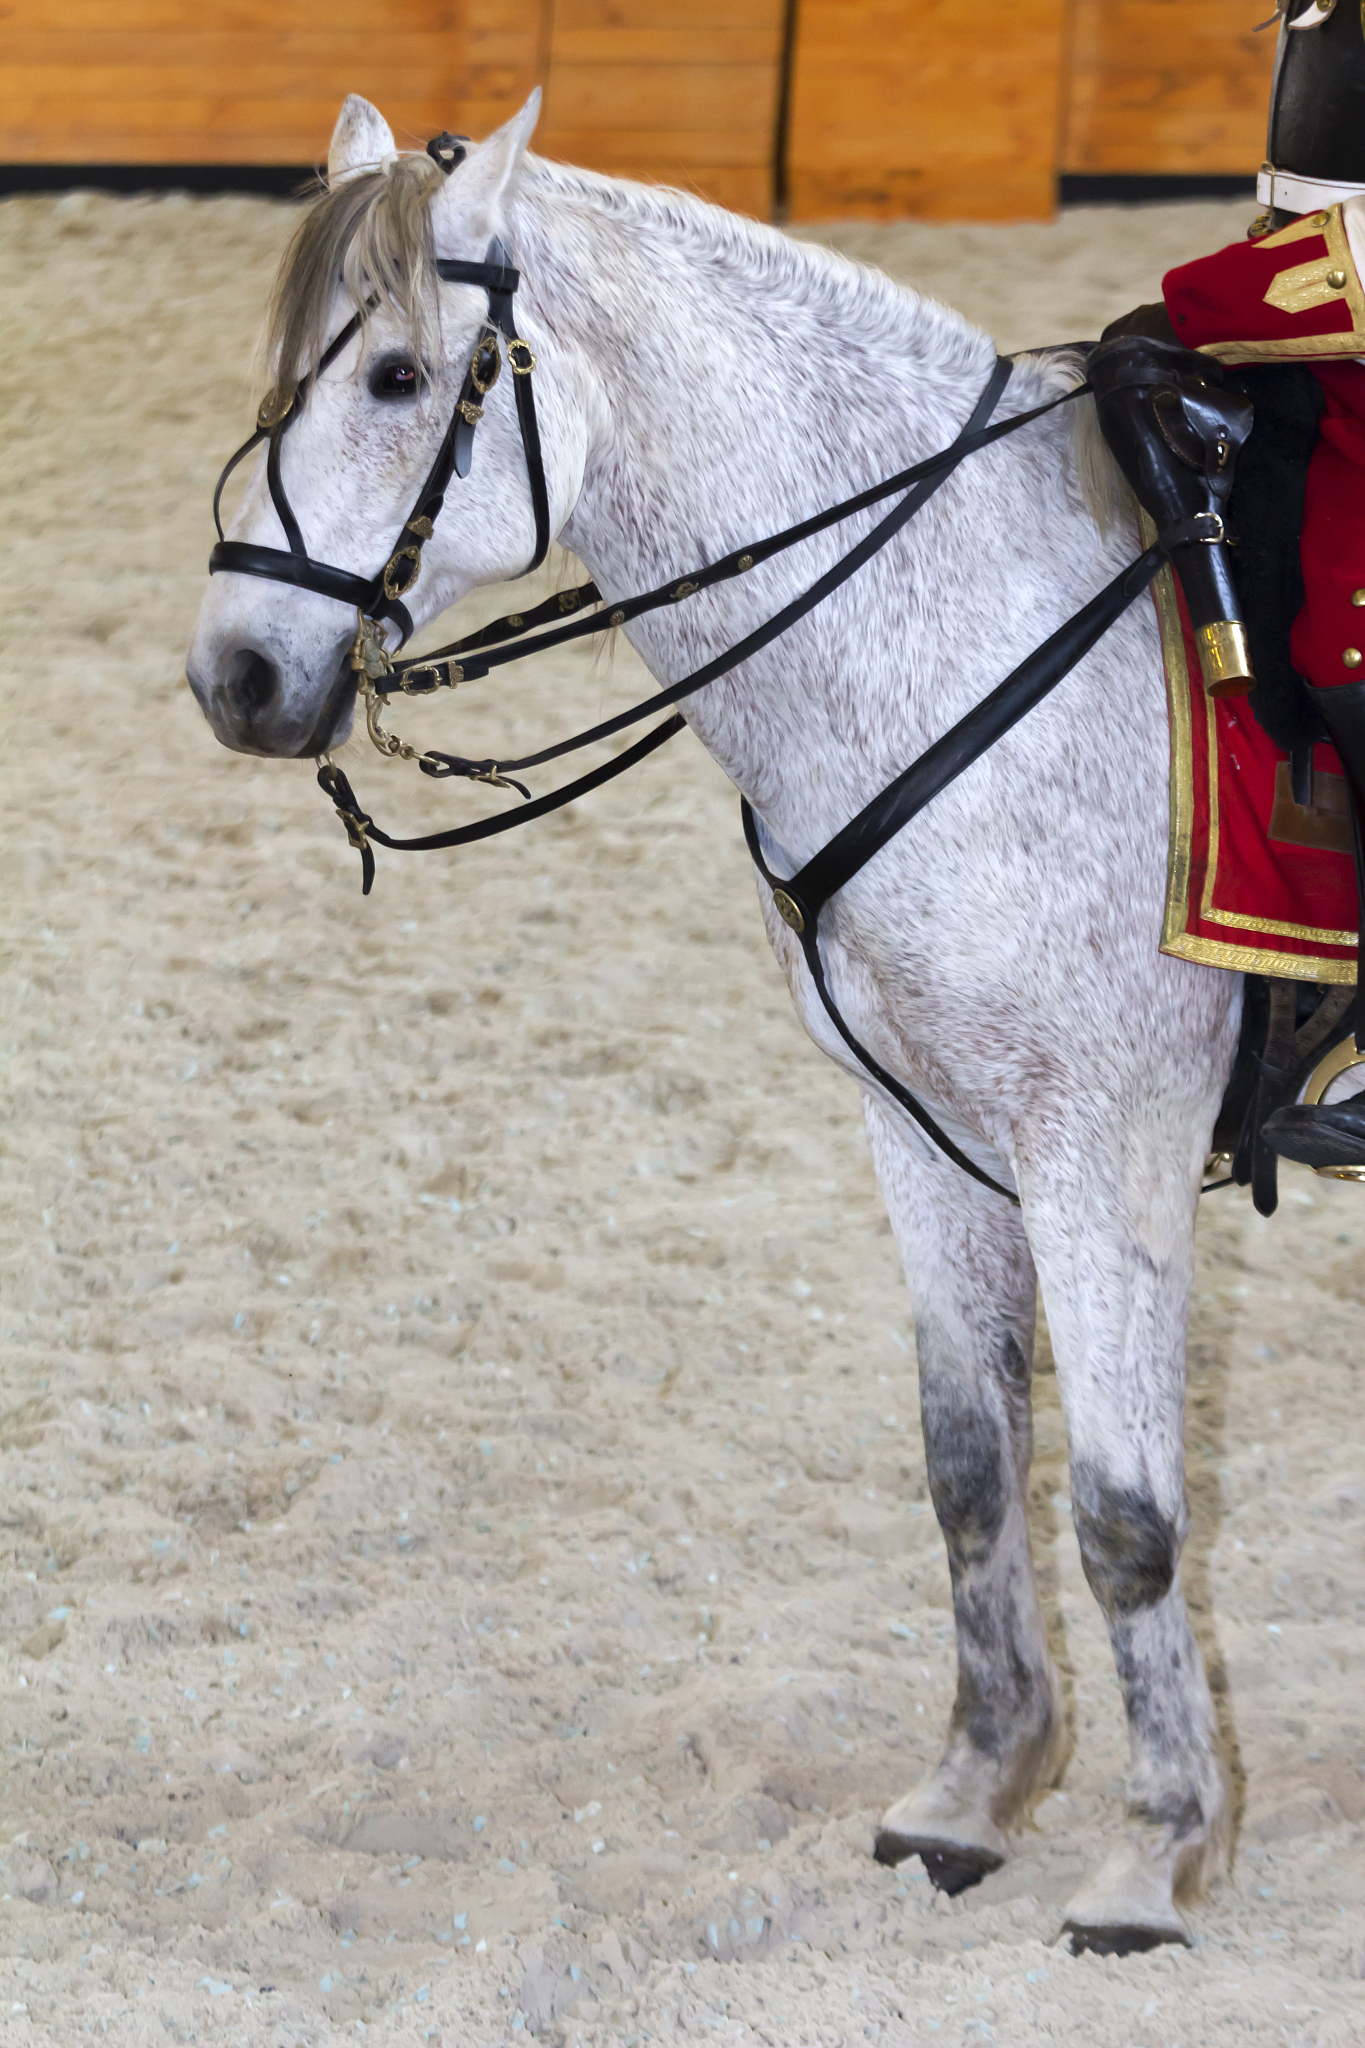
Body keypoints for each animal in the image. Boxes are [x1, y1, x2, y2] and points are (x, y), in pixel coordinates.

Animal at [187, 89, 1245, 1956]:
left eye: (397, 375)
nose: (231, 672)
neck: (954, 612)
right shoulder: (923, 1128)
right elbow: (971, 1464)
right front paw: (975, 1788)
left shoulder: (1101, 1141)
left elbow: (1125, 1514)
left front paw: (1151, 1855)